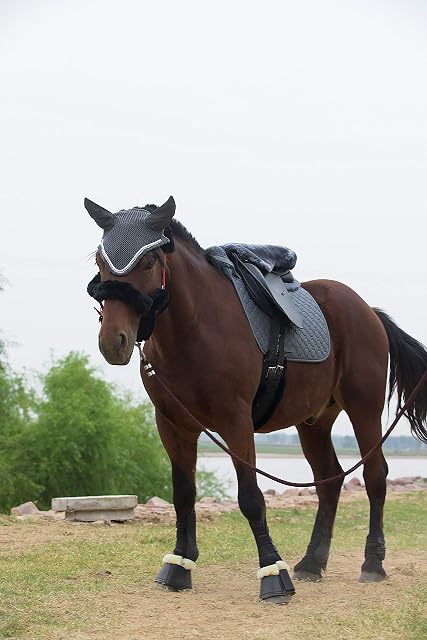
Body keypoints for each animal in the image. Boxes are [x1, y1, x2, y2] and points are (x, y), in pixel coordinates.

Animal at [84, 196, 427, 604]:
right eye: (100, 261)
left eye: (149, 261)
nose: (113, 341)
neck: (196, 328)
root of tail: (368, 312)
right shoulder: (173, 425)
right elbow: (183, 493)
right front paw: (180, 564)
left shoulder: (235, 422)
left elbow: (250, 497)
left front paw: (273, 573)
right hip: (313, 422)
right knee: (328, 481)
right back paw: (312, 562)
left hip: (364, 410)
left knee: (375, 476)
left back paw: (372, 562)